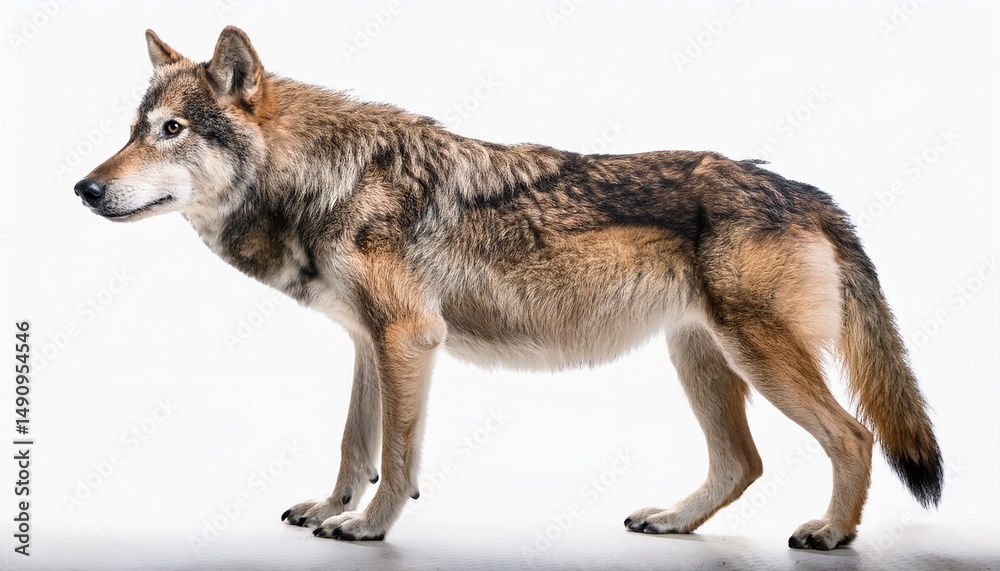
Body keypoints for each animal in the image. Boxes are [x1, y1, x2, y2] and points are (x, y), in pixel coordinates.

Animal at [74, 26, 943, 549]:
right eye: (132, 129)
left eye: (172, 131)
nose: (83, 188)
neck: (326, 179)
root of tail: (809, 192)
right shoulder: (368, 341)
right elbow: (356, 442)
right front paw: (332, 506)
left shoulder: (408, 339)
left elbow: (398, 452)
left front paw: (369, 525)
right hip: (699, 357)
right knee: (743, 463)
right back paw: (672, 519)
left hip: (754, 356)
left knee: (853, 436)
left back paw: (831, 532)